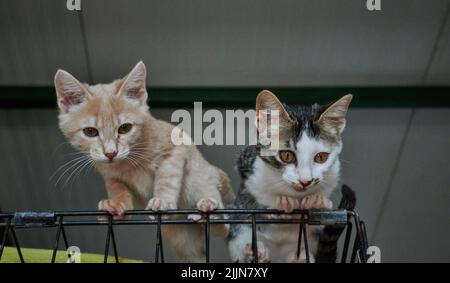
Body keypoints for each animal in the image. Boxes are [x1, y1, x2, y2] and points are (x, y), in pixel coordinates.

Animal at [54, 61, 234, 262]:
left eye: (125, 128)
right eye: (90, 132)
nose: (111, 153)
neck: (126, 163)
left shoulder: (175, 149)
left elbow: (167, 177)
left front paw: (162, 201)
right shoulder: (109, 174)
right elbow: (117, 187)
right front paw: (116, 204)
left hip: (202, 182)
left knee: (224, 228)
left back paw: (210, 211)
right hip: (184, 240)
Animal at [229, 91, 352, 264]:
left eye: (321, 157)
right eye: (286, 156)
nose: (305, 181)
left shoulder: (333, 172)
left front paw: (318, 201)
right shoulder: (246, 163)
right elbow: (255, 193)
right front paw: (281, 202)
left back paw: (300, 258)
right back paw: (255, 252)